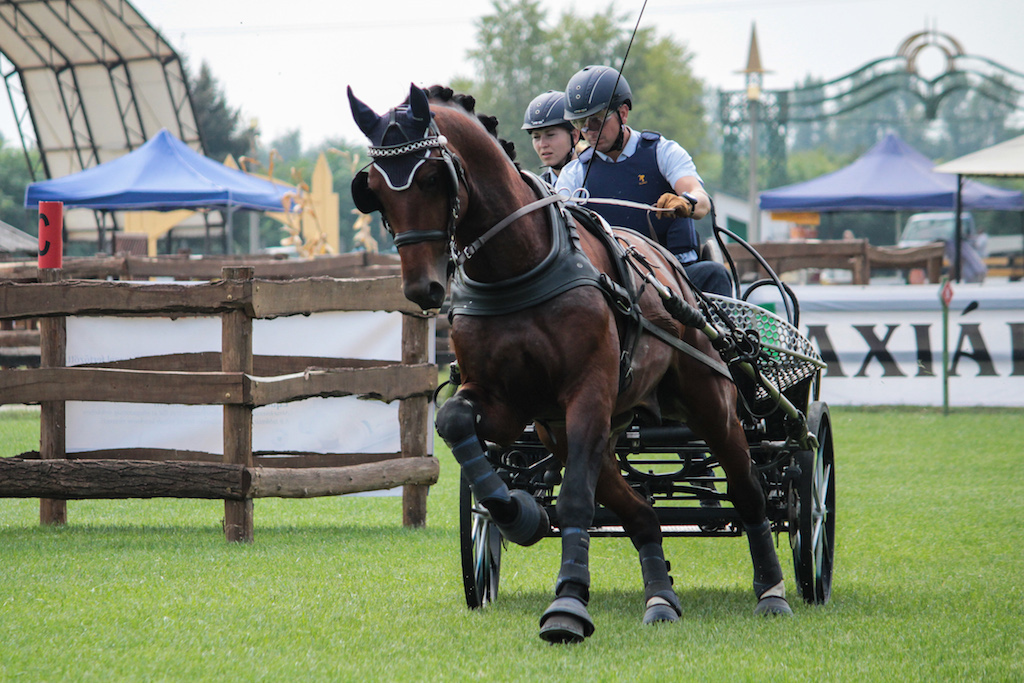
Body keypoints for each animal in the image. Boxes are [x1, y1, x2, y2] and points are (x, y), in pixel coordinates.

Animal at [348, 83, 786, 643]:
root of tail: (673, 275)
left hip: (707, 401)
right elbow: (455, 422)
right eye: (374, 190)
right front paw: (520, 515)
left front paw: (568, 604)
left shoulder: (587, 392)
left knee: (748, 489)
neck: (518, 266)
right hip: (586, 426)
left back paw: (772, 590)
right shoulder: (510, 403)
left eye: (430, 177)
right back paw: (660, 598)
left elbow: (575, 497)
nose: (422, 288)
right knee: (640, 511)